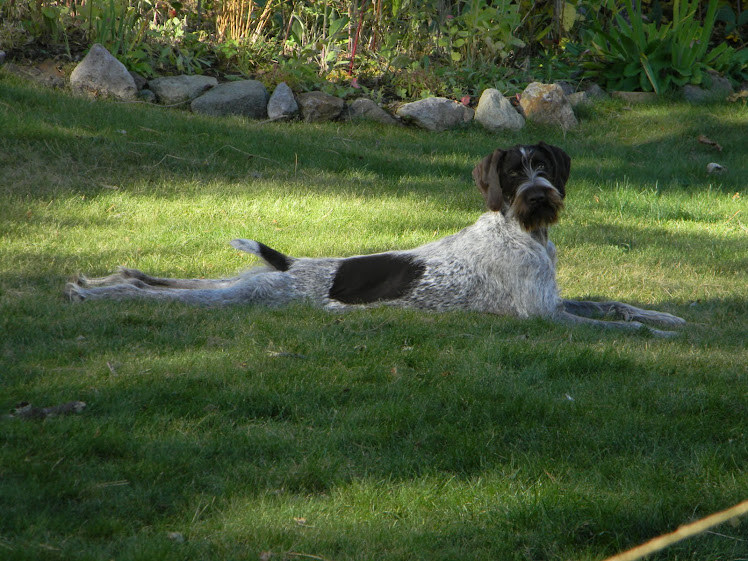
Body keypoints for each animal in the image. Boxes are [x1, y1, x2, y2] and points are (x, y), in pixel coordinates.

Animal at [67, 142, 688, 334]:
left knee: (159, 278)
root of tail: (291, 264)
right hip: (249, 296)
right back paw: (96, 293)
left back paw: (97, 281)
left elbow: (616, 304)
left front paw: (667, 318)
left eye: (543, 167)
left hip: (240, 282)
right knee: (154, 292)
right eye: (513, 174)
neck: (525, 233)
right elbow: (616, 324)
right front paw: (656, 334)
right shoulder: (543, 316)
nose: (539, 196)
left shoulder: (558, 300)